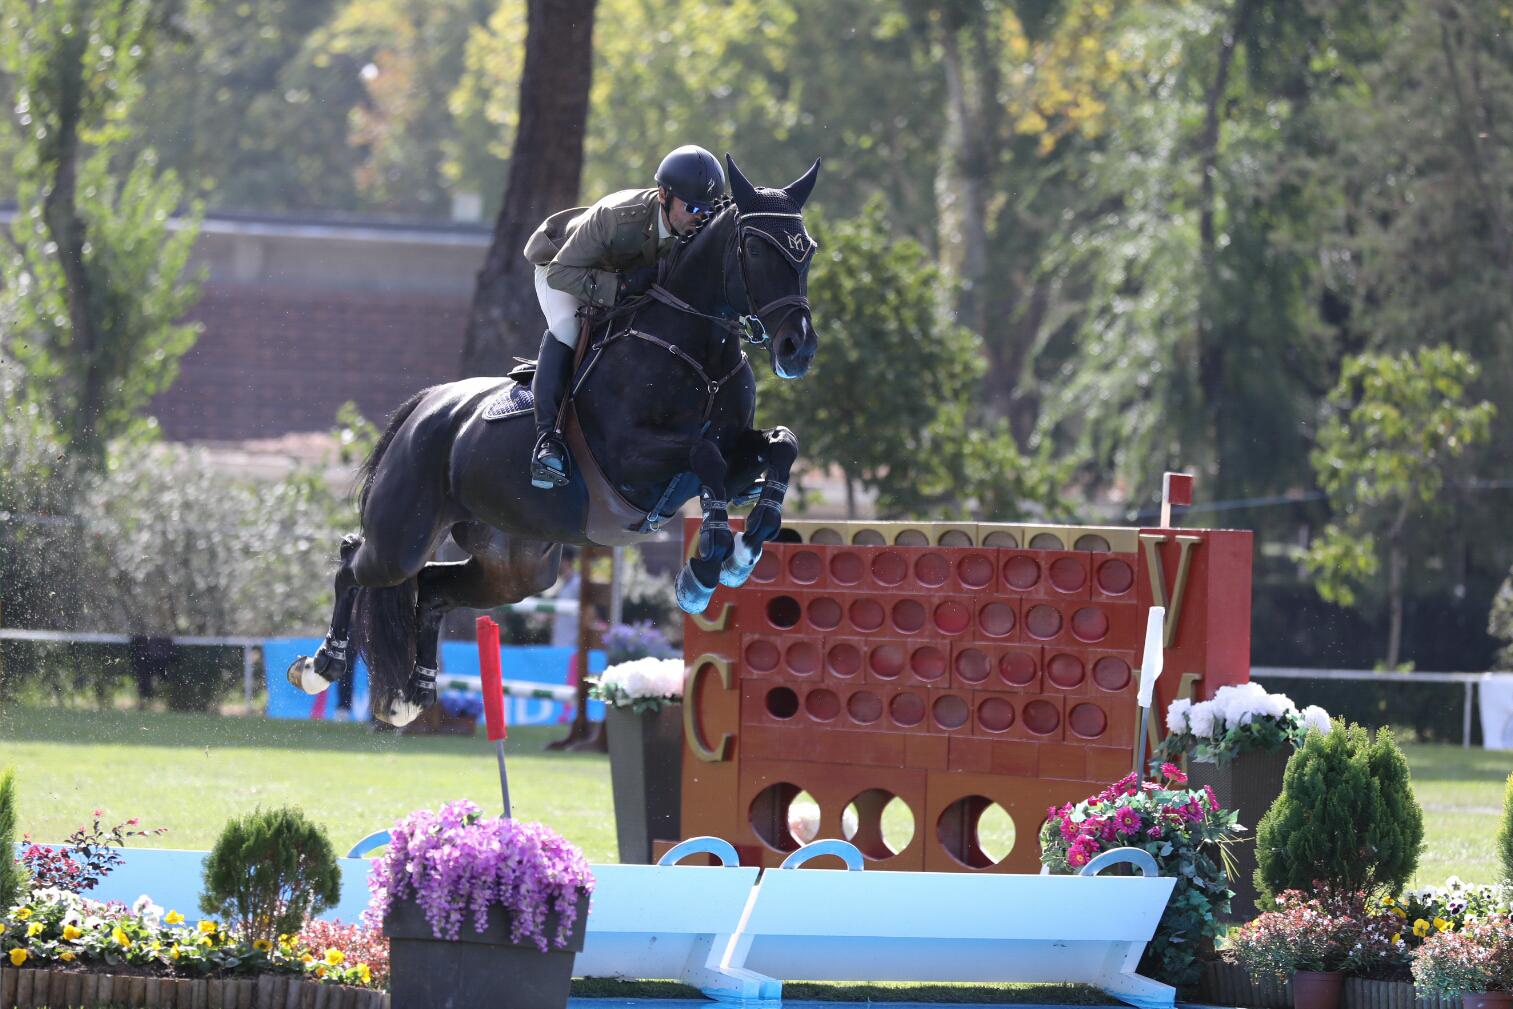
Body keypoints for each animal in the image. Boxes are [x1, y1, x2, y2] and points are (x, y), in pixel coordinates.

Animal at [287, 155, 823, 726]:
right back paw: (320, 666)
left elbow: (780, 445)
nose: (798, 349)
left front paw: (750, 542)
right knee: (354, 561)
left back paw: (416, 692)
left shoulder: (734, 454)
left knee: (431, 590)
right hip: (401, 540)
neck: (699, 351)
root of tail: (428, 406)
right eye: (754, 248)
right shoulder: (631, 462)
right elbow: (705, 456)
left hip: (517, 567)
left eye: (807, 249)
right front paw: (705, 568)